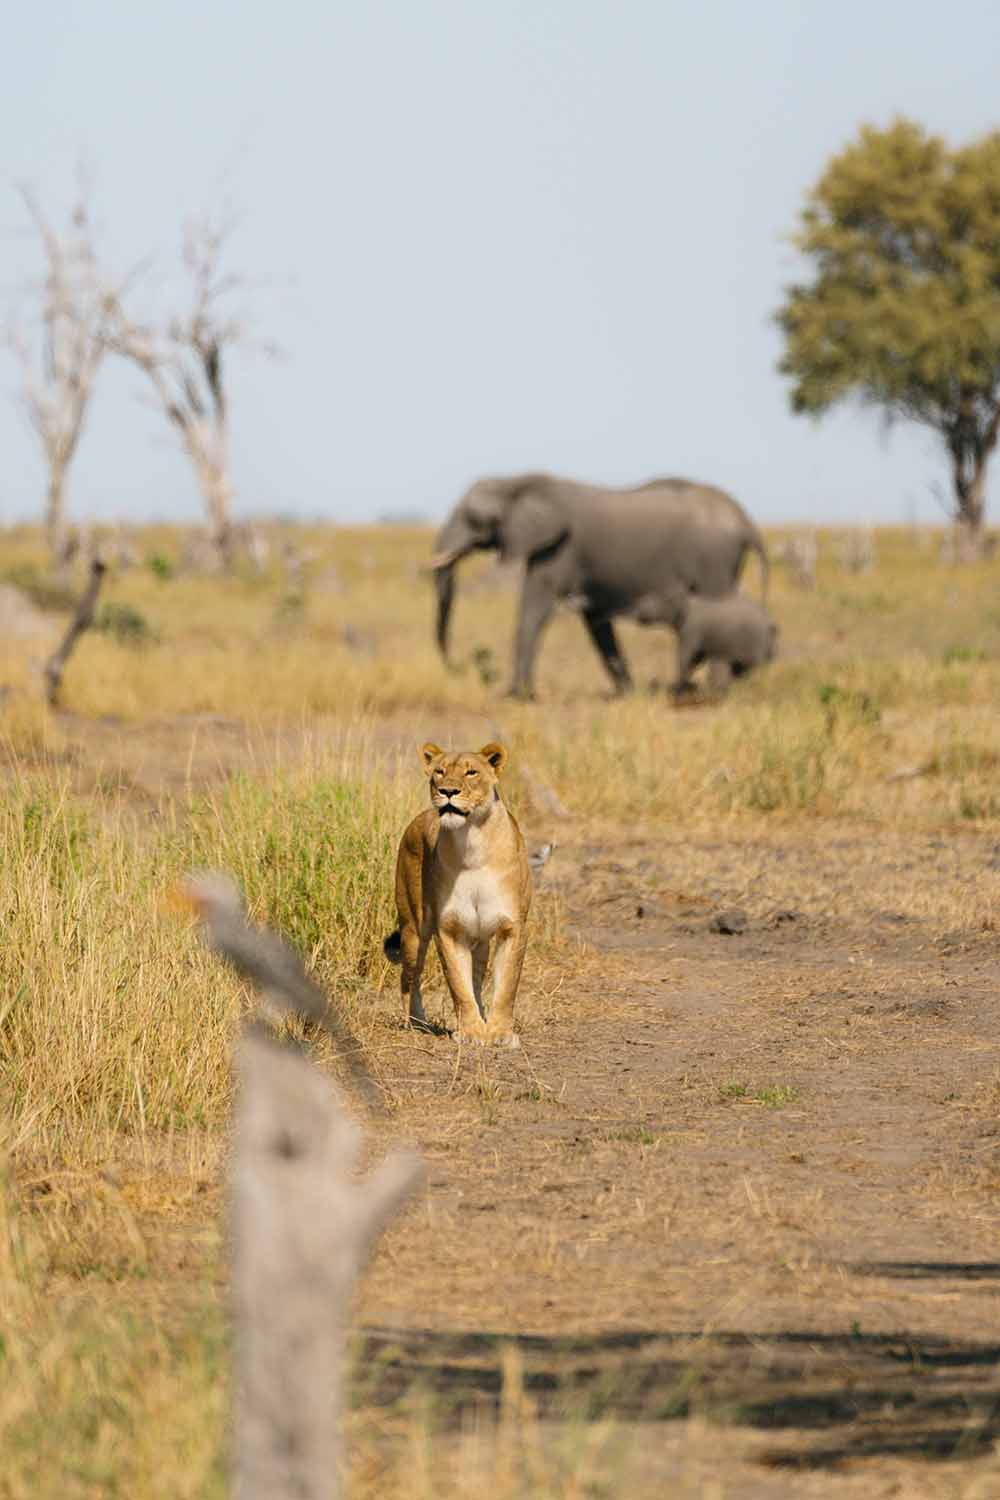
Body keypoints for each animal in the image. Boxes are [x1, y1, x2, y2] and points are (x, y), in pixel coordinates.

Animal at [383, 741, 532, 1045]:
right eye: (439, 772)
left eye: (471, 772)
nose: (447, 791)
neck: (472, 844)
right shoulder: (448, 929)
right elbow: (458, 985)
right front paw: (472, 1032)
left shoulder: (513, 927)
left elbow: (506, 985)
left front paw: (499, 1032)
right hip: (413, 929)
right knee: (408, 977)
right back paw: (417, 1023)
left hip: (480, 941)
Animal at [430, 472, 769, 698]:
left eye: (472, 518)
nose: (458, 666)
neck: (521, 481)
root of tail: (746, 522)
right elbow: (595, 624)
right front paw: (626, 693)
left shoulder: (559, 548)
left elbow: (535, 610)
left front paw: (516, 696)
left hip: (714, 558)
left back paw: (714, 691)